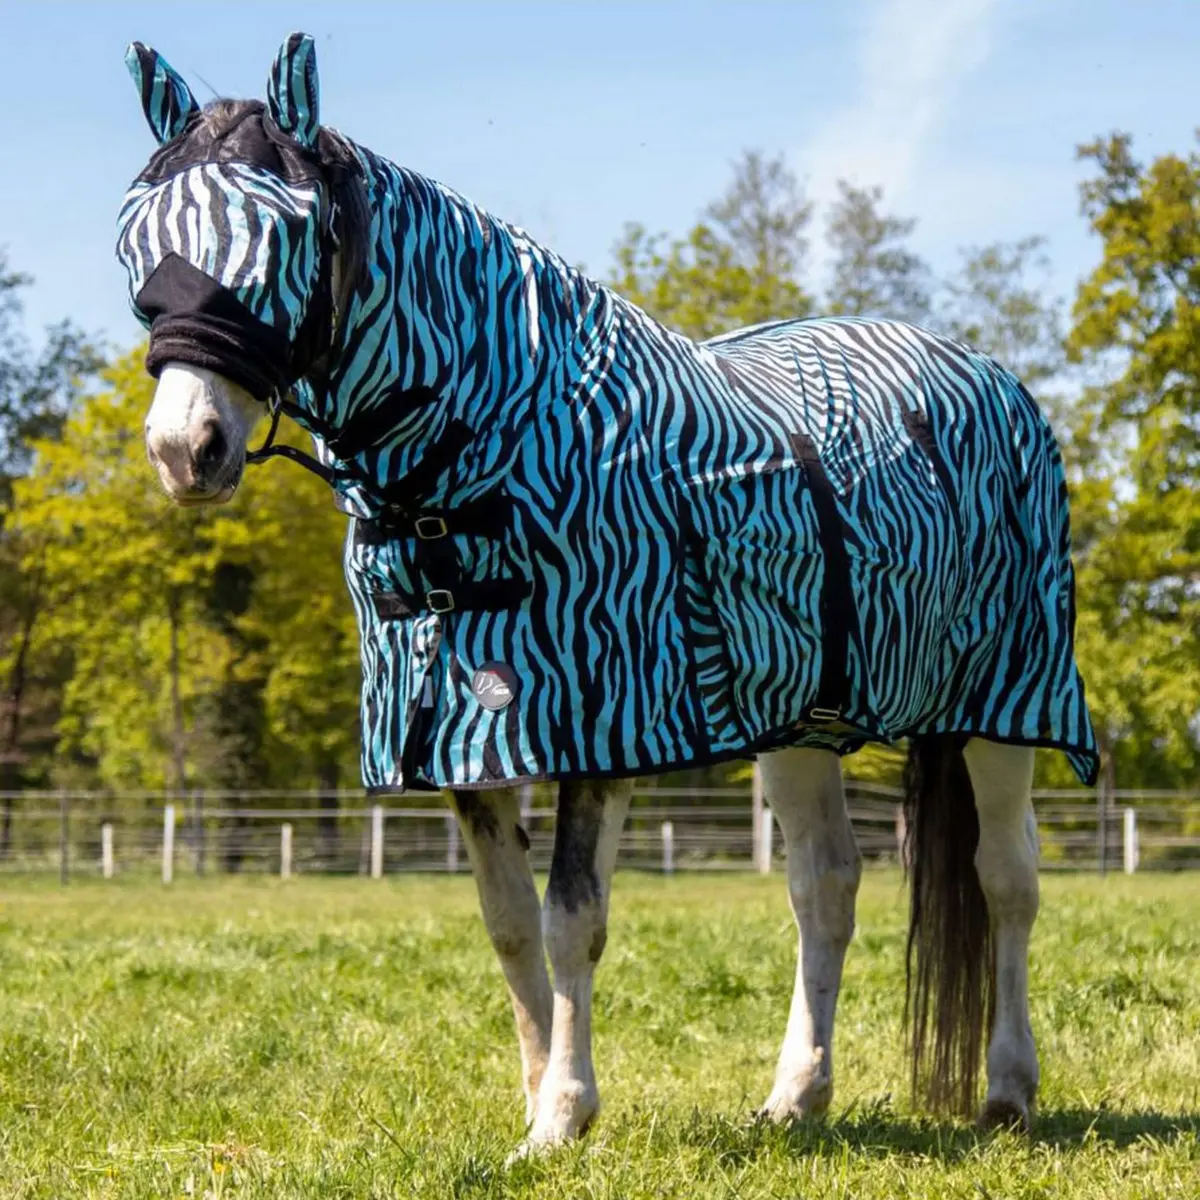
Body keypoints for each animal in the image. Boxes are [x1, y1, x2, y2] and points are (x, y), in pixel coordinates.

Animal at [116, 33, 1098, 1151]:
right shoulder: (466, 737)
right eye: (135, 239)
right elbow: (508, 927)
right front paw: (539, 1098)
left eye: (287, 230)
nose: (184, 450)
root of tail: (988, 376)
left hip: (1006, 704)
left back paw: (1009, 1091)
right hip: (803, 725)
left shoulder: (599, 727)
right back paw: (796, 1097)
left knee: (1007, 880)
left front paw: (563, 1115)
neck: (496, 453)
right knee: (826, 888)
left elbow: (571, 919)